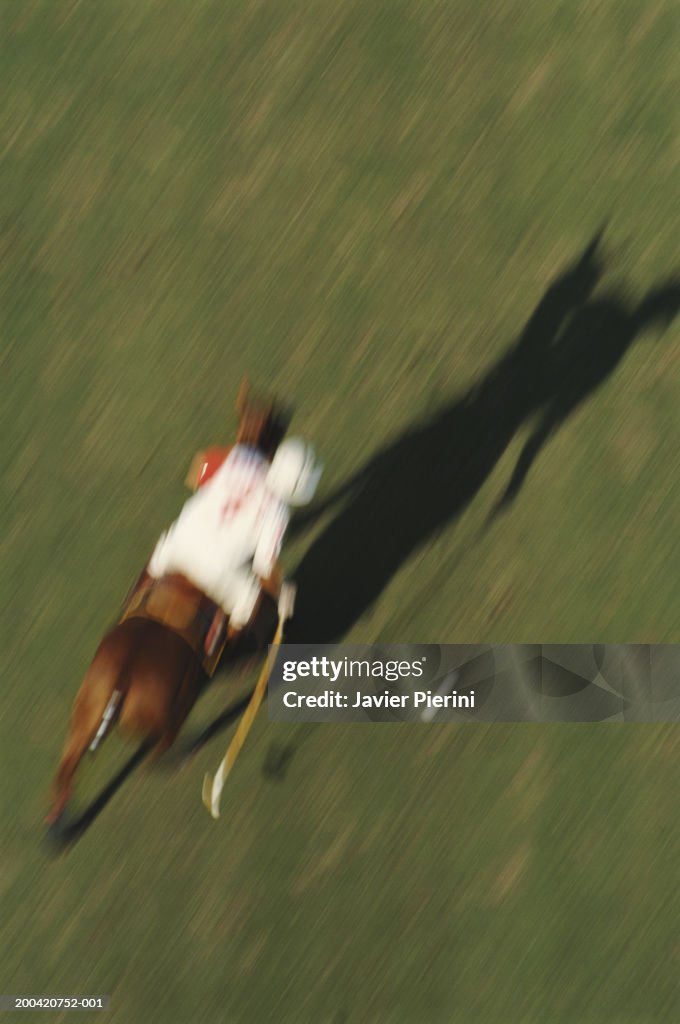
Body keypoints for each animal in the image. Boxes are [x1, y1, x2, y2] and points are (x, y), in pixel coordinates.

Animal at [46, 376, 290, 831]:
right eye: (270, 414)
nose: (288, 411)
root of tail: (122, 680)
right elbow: (254, 619)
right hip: (169, 710)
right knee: (160, 751)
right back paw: (189, 746)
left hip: (83, 716)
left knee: (66, 769)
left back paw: (58, 824)